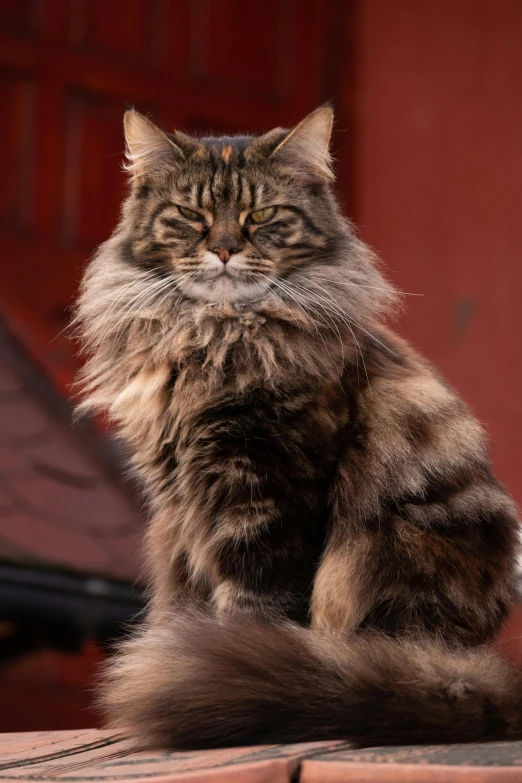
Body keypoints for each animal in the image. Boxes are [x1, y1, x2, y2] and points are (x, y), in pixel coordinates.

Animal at [76, 107, 520, 752]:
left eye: (262, 216)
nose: (225, 249)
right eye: (191, 216)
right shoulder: (178, 500)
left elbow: (254, 602)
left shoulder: (265, 485)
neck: (215, 334)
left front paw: (217, 662)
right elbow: (187, 596)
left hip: (381, 554)